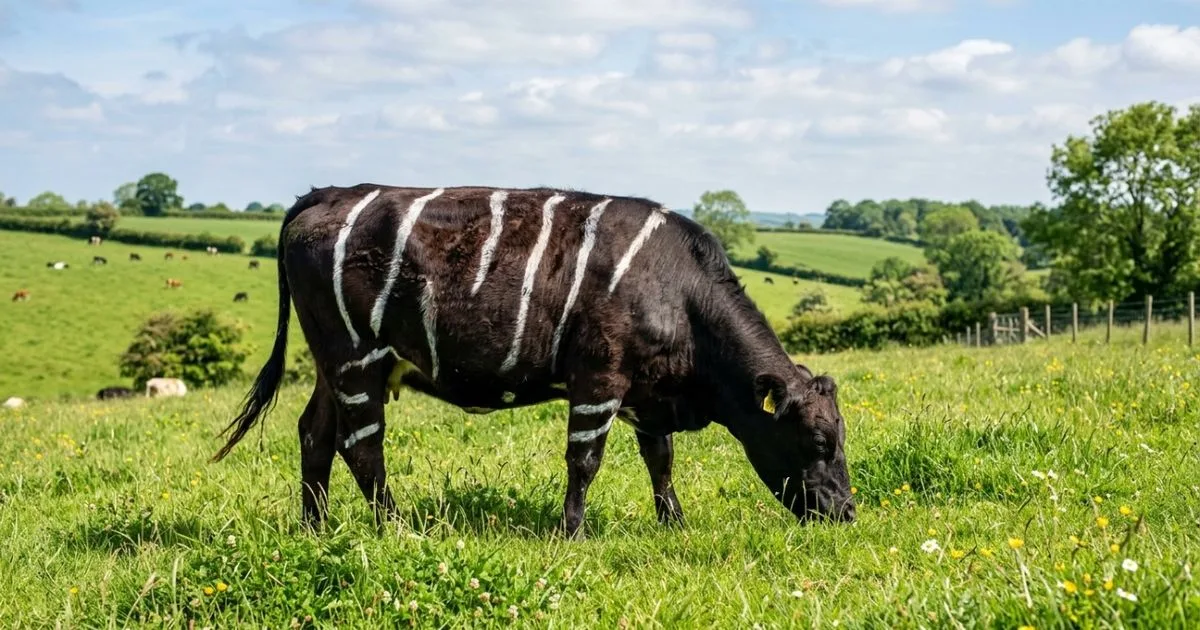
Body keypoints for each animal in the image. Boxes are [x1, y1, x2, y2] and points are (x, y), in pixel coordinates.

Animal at [213, 184, 855, 538]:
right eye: (820, 442)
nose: (847, 512)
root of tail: (329, 192)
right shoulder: (599, 376)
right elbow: (585, 461)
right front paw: (572, 533)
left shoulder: (647, 393)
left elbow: (661, 460)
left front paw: (674, 525)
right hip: (356, 358)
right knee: (361, 447)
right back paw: (394, 529)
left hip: (335, 364)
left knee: (314, 434)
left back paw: (314, 529)